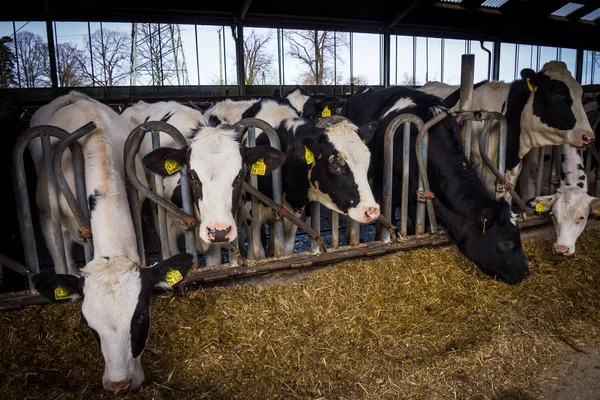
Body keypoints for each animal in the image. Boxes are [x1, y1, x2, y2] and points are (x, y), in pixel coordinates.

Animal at [209, 96, 382, 253]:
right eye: (335, 167)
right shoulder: (250, 215)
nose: (372, 211)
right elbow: (257, 251)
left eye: (367, 160)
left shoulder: (294, 215)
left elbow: (286, 249)